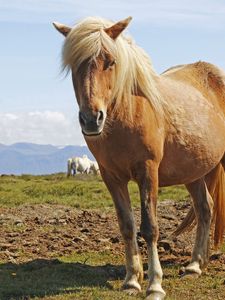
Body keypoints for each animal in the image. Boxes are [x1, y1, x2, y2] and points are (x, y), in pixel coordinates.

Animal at [53, 17, 225, 300]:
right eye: (74, 65)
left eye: (110, 61)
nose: (91, 119)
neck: (128, 113)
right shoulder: (111, 177)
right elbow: (127, 225)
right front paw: (132, 280)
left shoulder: (148, 172)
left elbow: (150, 227)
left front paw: (155, 284)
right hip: (193, 172)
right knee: (205, 209)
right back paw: (194, 265)